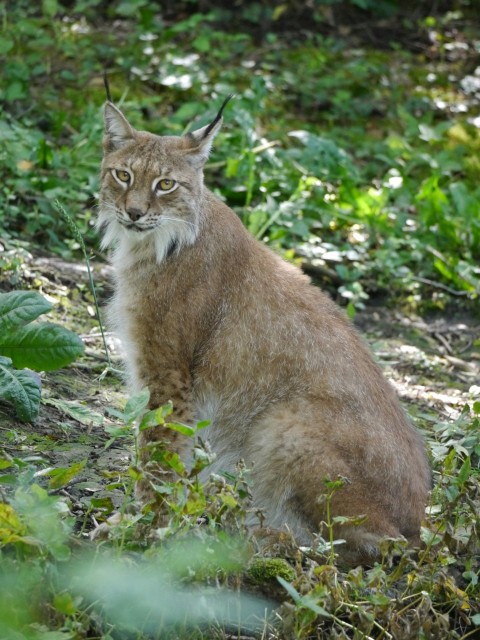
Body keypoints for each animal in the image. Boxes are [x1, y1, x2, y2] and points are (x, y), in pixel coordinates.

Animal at [95, 87, 430, 564]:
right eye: (122, 175)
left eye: (166, 184)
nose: (135, 213)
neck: (156, 243)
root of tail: (421, 527)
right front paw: (159, 523)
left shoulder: (168, 372)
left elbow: (158, 453)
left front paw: (139, 528)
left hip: (279, 421)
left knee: (369, 550)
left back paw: (262, 542)